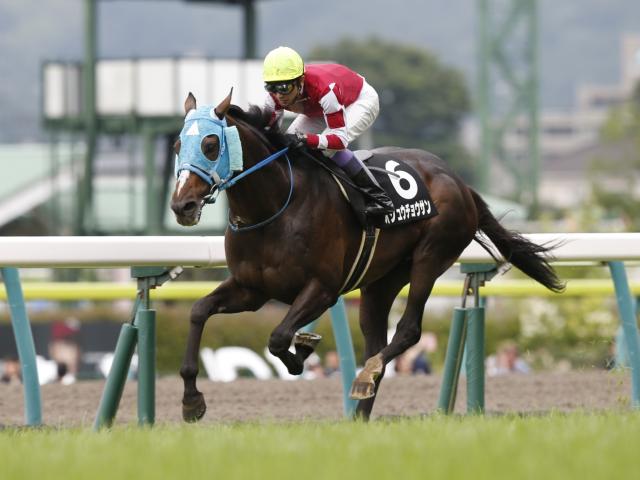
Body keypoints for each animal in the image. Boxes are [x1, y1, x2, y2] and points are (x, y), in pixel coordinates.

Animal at [170, 92, 564, 422]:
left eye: (209, 144)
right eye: (177, 144)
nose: (181, 205)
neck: (276, 206)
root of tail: (460, 182)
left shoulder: (323, 289)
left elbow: (279, 337)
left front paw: (302, 353)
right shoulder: (251, 289)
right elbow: (198, 311)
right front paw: (191, 401)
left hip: (431, 256)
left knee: (407, 331)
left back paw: (364, 377)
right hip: (381, 282)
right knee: (377, 340)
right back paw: (360, 411)